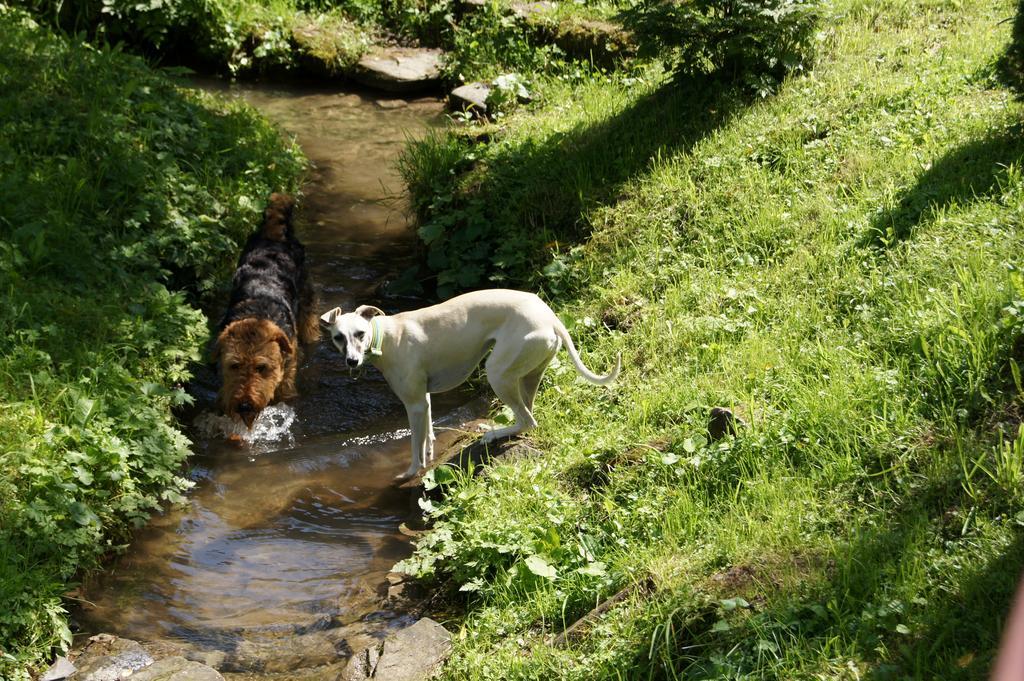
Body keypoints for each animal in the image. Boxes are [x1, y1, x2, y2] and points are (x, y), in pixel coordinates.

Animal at [209, 192, 317, 426]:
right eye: (234, 365)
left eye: (262, 367)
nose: (244, 406)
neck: (256, 314)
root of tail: (274, 234)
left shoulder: (286, 378)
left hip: (307, 296)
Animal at [323, 288, 618, 481]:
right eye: (339, 337)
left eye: (360, 333)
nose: (352, 361)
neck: (387, 336)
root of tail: (552, 318)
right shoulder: (424, 400)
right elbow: (428, 435)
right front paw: (429, 453)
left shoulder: (414, 404)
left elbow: (415, 447)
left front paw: (411, 472)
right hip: (529, 375)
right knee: (529, 416)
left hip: (497, 373)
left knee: (528, 420)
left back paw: (492, 434)